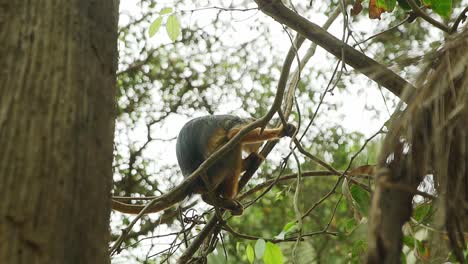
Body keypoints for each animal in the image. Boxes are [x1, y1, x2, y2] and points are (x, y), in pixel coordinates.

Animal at [112, 114, 296, 216]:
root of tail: (190, 179)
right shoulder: (240, 122)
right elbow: (234, 134)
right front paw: (281, 131)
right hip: (213, 170)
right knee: (232, 146)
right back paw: (223, 198)